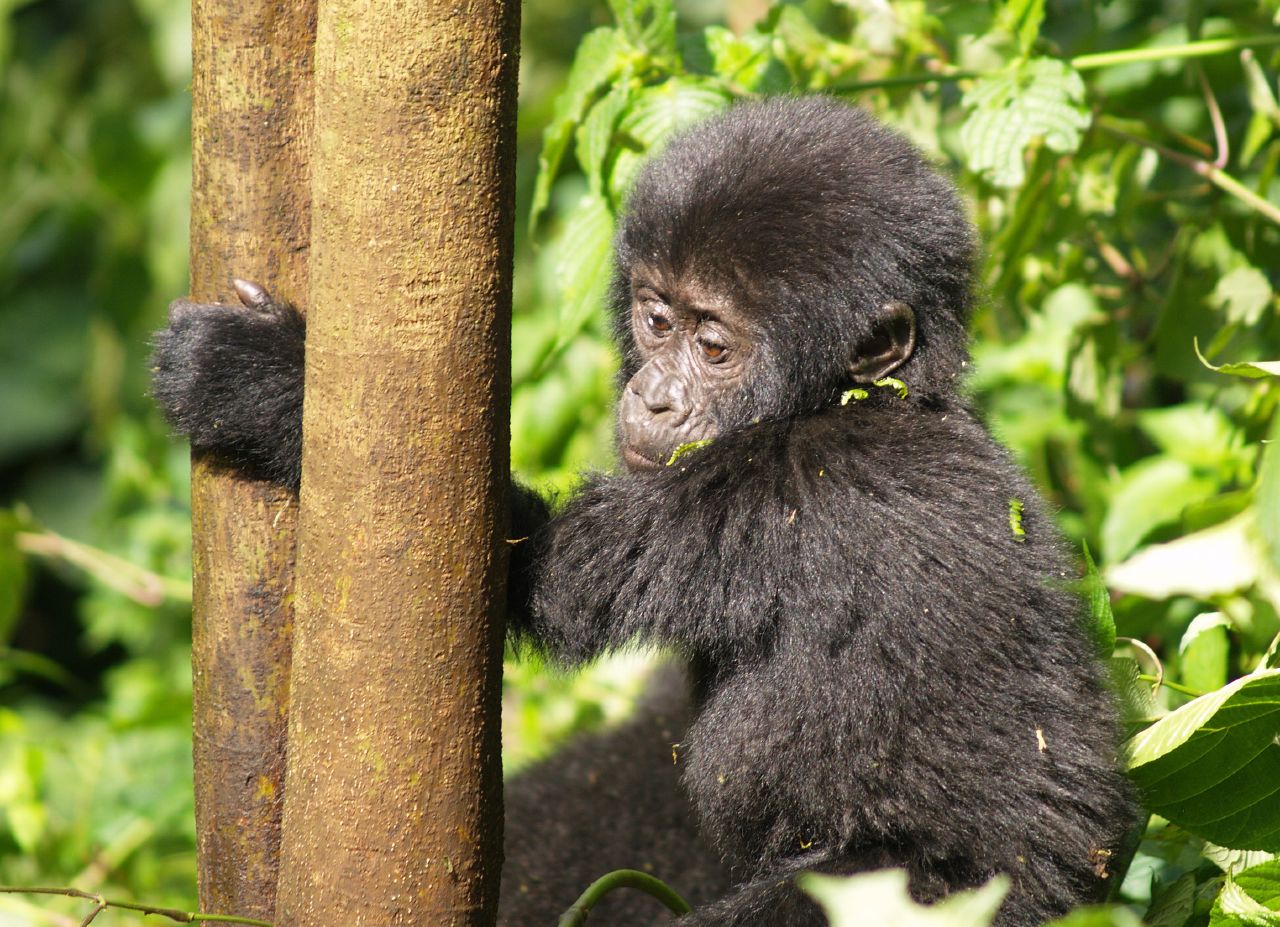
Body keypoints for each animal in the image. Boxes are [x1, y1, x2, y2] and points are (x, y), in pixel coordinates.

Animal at [152, 96, 1141, 926]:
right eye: (655, 318)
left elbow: (534, 570)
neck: (865, 399)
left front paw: (260, 381)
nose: (654, 399)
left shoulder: (774, 486)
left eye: (715, 347)